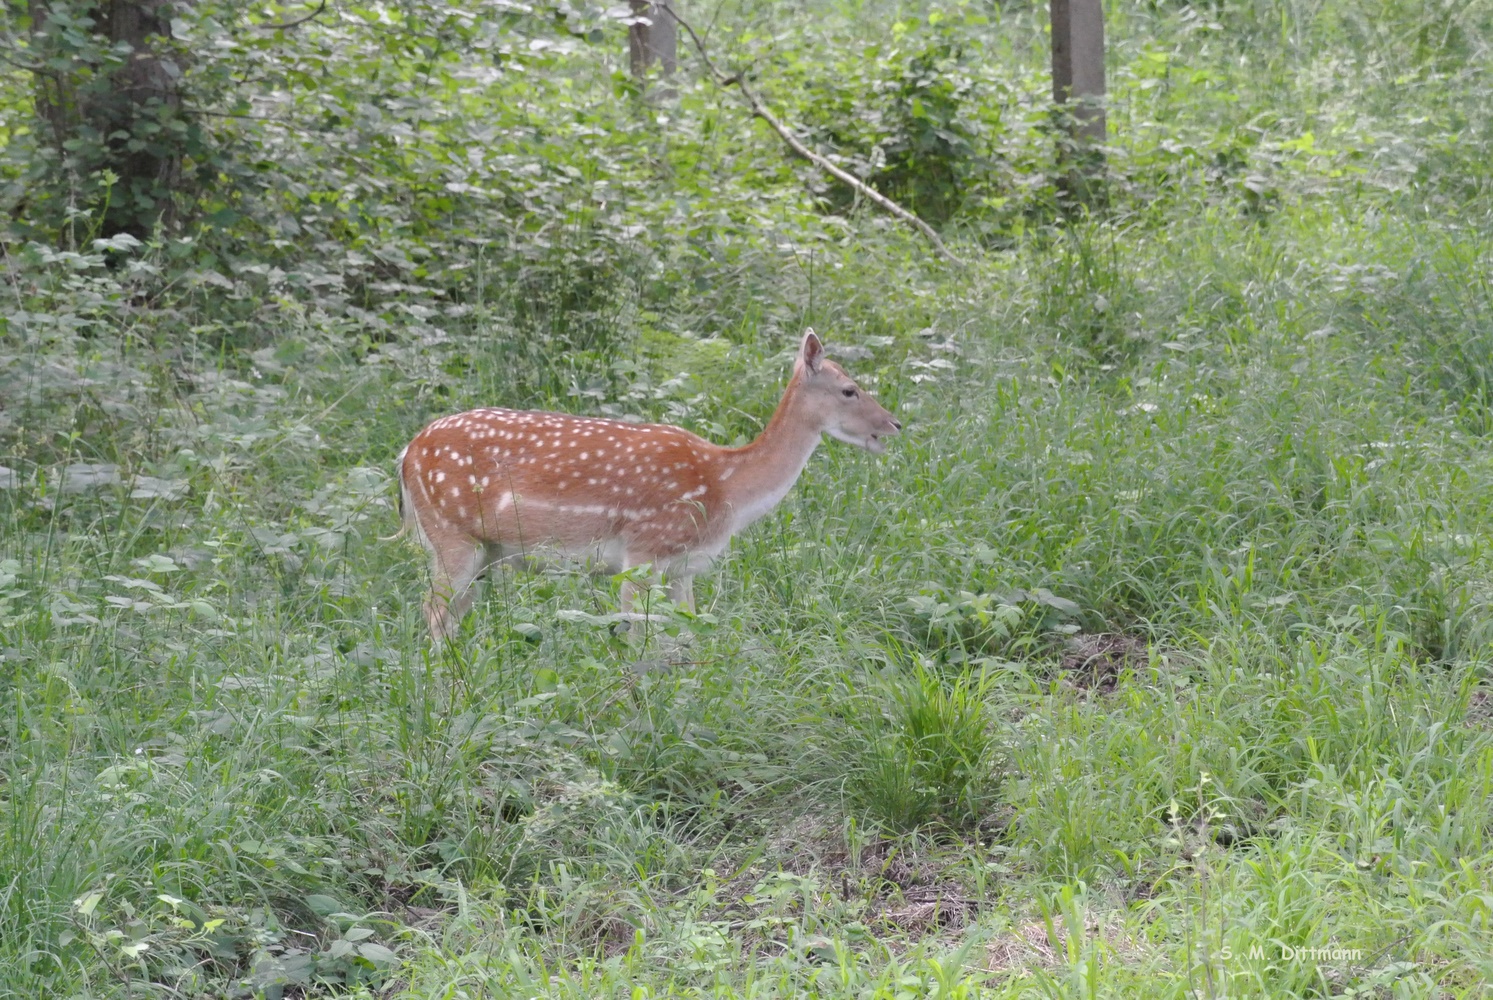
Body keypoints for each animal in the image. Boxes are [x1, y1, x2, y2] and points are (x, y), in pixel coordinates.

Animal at [394, 331, 895, 641]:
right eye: (850, 389)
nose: (894, 424)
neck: (725, 488)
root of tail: (406, 453)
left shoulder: (684, 566)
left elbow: (690, 634)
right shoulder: (642, 551)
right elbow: (638, 635)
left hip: (484, 550)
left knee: (449, 614)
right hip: (450, 533)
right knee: (433, 613)